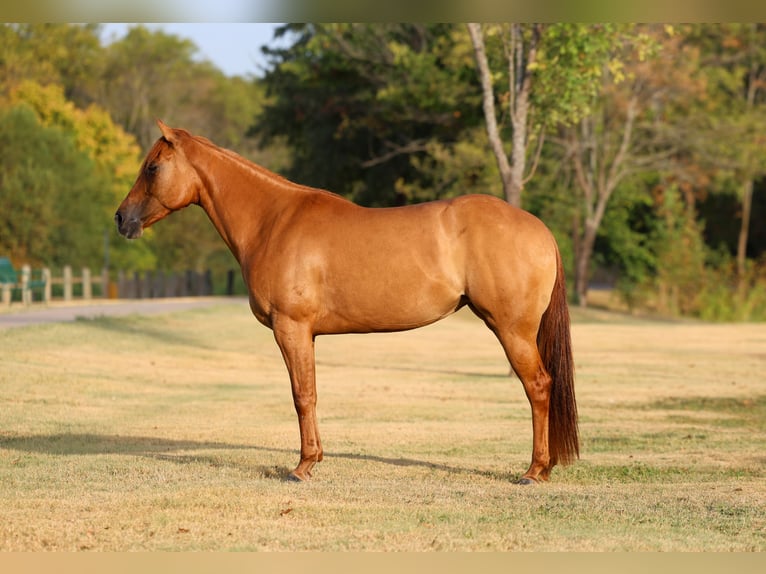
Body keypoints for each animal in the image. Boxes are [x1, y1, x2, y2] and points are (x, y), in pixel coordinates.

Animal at [115, 120, 578, 484]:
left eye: (152, 167)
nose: (121, 219)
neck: (272, 221)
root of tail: (539, 228)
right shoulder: (307, 335)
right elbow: (311, 392)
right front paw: (315, 458)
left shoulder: (291, 328)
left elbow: (301, 395)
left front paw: (302, 467)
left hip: (513, 329)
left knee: (539, 386)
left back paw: (534, 471)